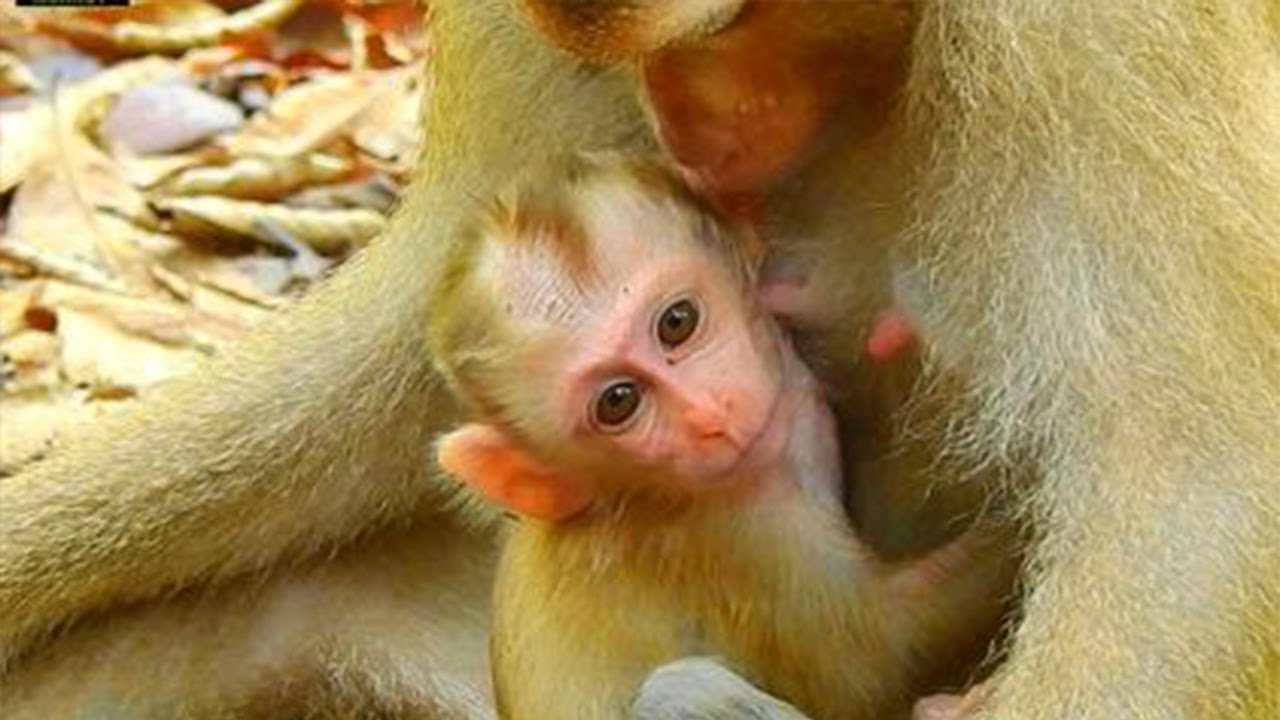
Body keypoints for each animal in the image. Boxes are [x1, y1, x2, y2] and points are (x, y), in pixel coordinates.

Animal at [426, 154, 1013, 719]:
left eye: (677, 321)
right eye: (618, 402)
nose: (706, 415)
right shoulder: (735, 540)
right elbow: (874, 659)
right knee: (680, 692)